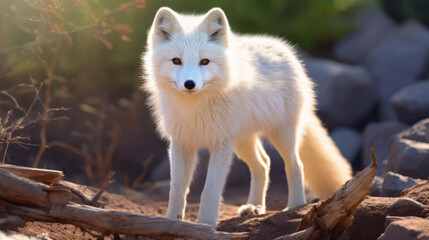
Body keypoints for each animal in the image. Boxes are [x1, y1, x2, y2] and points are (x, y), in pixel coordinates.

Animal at [142, 7, 352, 229]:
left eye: (204, 61)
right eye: (176, 61)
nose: (189, 84)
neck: (195, 108)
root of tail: (285, 50)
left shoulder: (221, 144)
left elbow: (210, 190)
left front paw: (206, 223)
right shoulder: (182, 143)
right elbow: (176, 190)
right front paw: (171, 222)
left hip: (281, 135)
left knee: (295, 165)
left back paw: (294, 205)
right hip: (243, 142)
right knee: (264, 163)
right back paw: (255, 206)